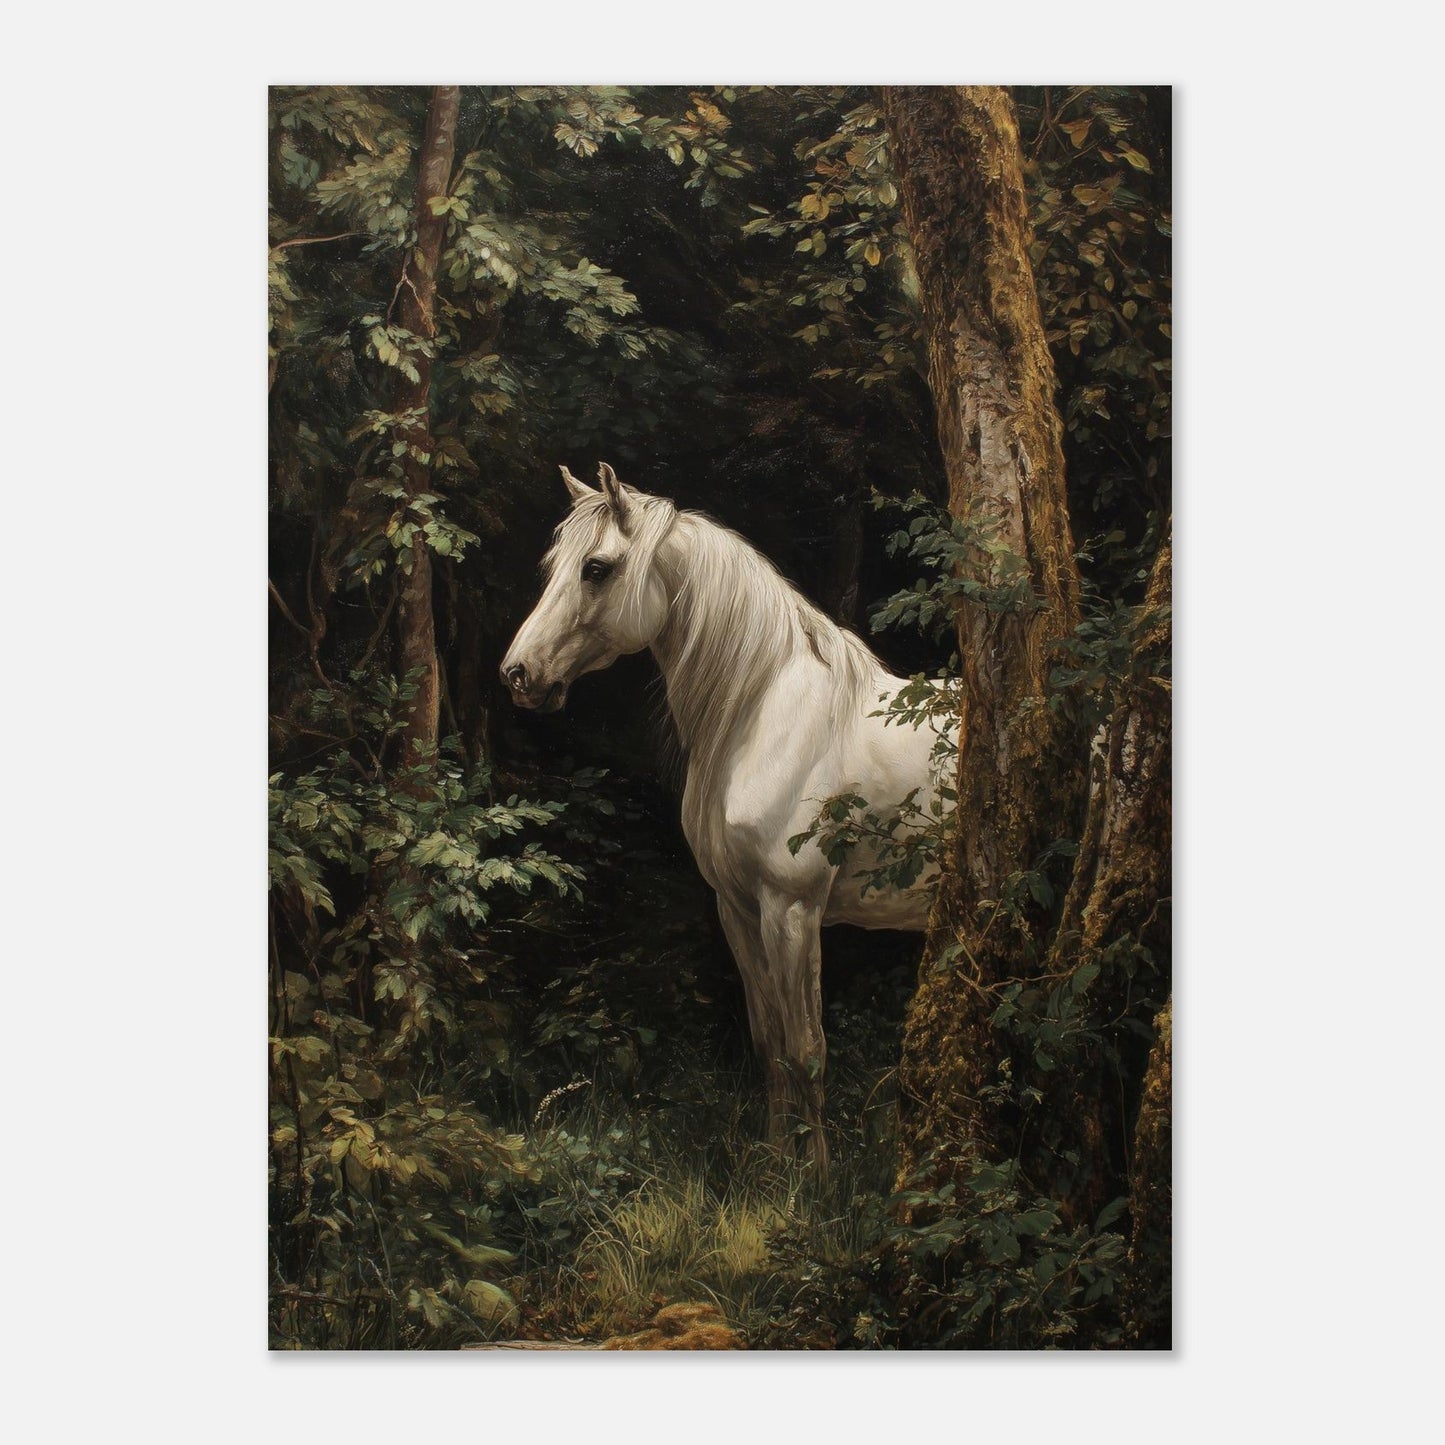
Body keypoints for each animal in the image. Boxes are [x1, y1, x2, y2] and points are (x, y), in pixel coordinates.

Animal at [501, 462, 955, 1173]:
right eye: (553, 565)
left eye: (597, 568)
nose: (519, 674)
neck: (763, 716)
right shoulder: (737, 908)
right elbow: (769, 1042)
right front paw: (772, 1163)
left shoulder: (792, 909)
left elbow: (807, 1048)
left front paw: (817, 1178)